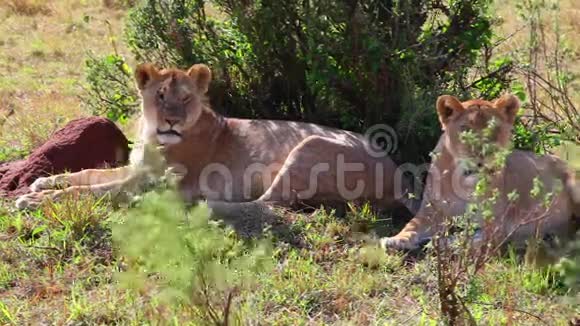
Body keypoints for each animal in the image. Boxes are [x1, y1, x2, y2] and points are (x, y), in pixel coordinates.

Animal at [12, 63, 404, 211]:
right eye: (160, 96)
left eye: (185, 98)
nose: (171, 121)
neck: (152, 137)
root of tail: (395, 171)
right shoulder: (136, 170)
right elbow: (87, 174)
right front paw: (44, 182)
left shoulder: (152, 181)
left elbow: (95, 190)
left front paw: (34, 200)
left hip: (309, 146)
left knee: (266, 202)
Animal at [380, 93, 580, 251]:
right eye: (465, 129)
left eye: (494, 129)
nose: (482, 156)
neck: (462, 180)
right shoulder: (430, 212)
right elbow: (410, 226)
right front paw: (395, 240)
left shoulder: (495, 226)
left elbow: (468, 239)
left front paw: (440, 242)